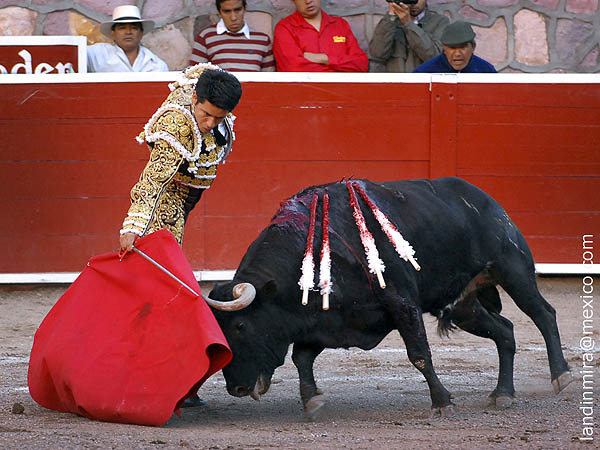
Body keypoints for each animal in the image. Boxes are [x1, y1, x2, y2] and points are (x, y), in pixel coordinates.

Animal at [201, 177, 573, 419]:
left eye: (240, 325)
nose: (235, 388)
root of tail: (482, 197)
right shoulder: (324, 320)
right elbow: (302, 358)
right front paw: (311, 401)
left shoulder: (402, 303)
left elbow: (419, 354)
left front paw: (442, 402)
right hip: (463, 305)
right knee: (505, 330)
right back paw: (503, 394)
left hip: (514, 269)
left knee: (544, 314)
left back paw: (561, 375)